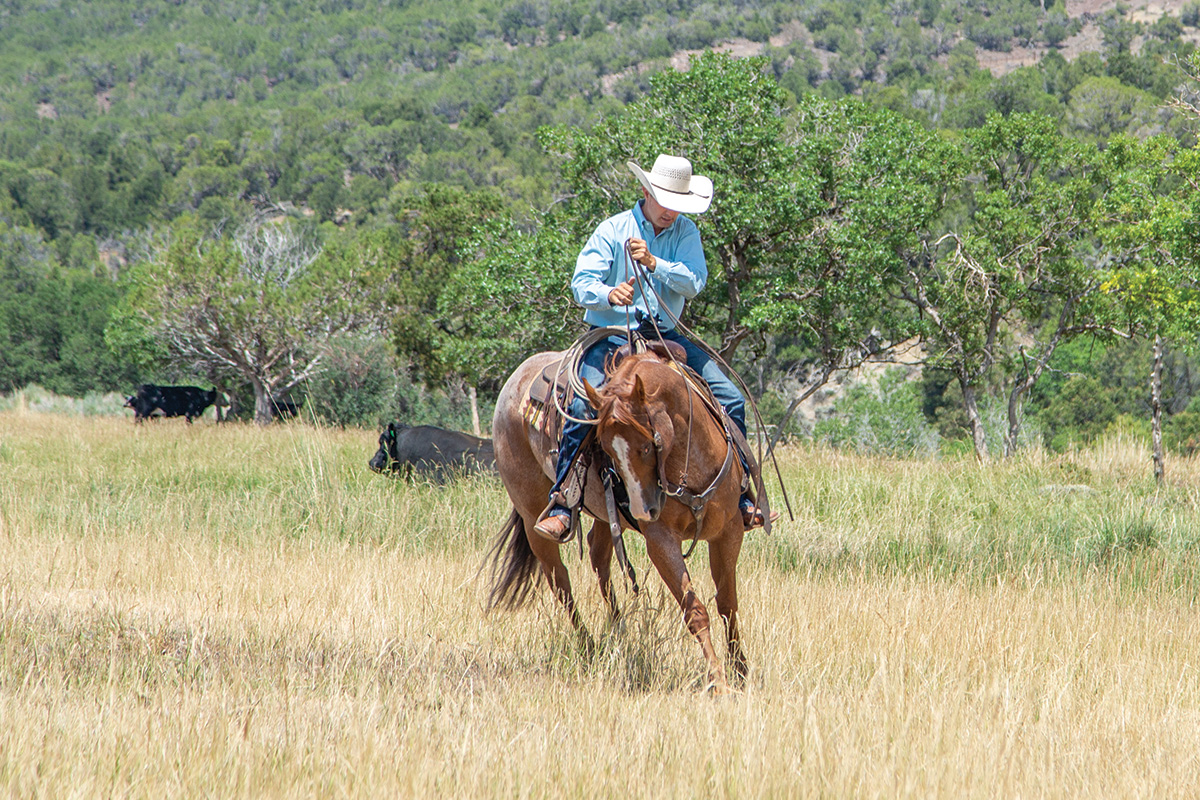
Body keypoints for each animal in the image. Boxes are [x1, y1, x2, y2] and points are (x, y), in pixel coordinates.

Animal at [487, 347, 748, 690]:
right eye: (605, 449)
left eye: (649, 445)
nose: (642, 510)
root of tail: (516, 379)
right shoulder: (661, 542)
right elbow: (695, 611)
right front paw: (719, 680)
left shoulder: (729, 532)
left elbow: (728, 604)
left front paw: (742, 672)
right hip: (532, 515)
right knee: (560, 581)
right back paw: (589, 646)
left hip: (604, 517)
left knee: (598, 555)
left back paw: (619, 635)